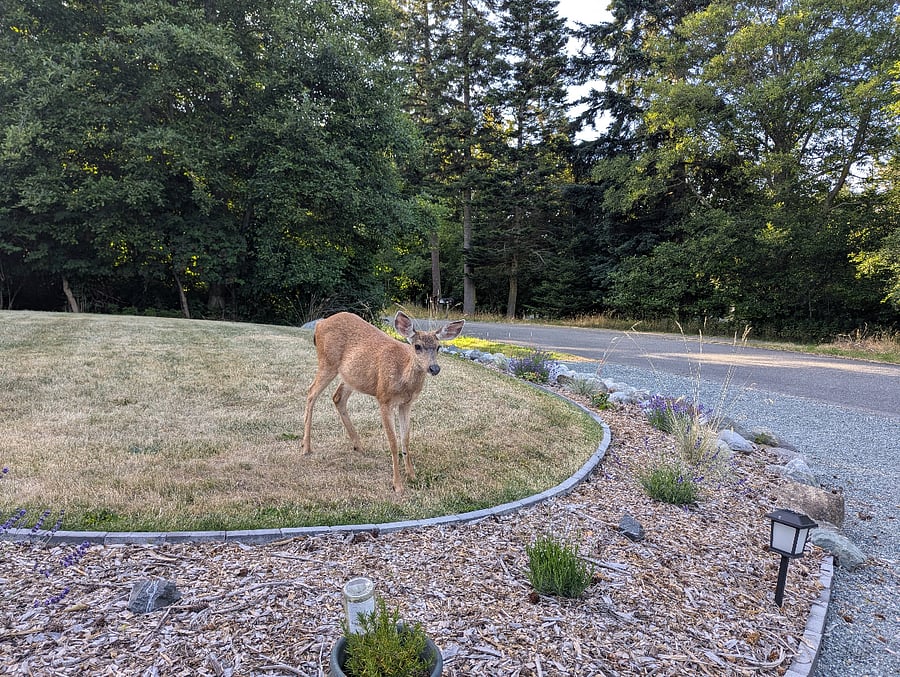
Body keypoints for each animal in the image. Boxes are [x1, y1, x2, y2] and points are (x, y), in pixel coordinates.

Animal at [302, 311, 465, 493]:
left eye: (438, 347)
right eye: (417, 346)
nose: (434, 368)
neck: (403, 379)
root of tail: (319, 324)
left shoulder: (406, 404)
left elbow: (405, 440)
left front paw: (412, 475)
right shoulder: (384, 399)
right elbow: (393, 443)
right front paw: (397, 485)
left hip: (351, 376)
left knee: (337, 397)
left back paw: (358, 446)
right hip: (327, 362)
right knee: (311, 393)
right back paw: (306, 447)